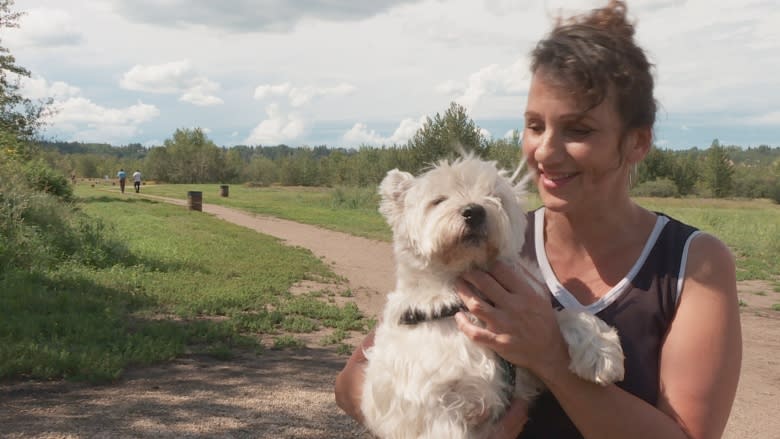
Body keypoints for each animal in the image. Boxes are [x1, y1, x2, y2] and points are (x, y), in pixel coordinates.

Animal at [362, 156, 628, 439]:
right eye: (438, 200)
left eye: (495, 196)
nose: (474, 211)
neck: (460, 301)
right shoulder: (434, 407)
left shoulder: (527, 366)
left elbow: (563, 316)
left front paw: (601, 353)